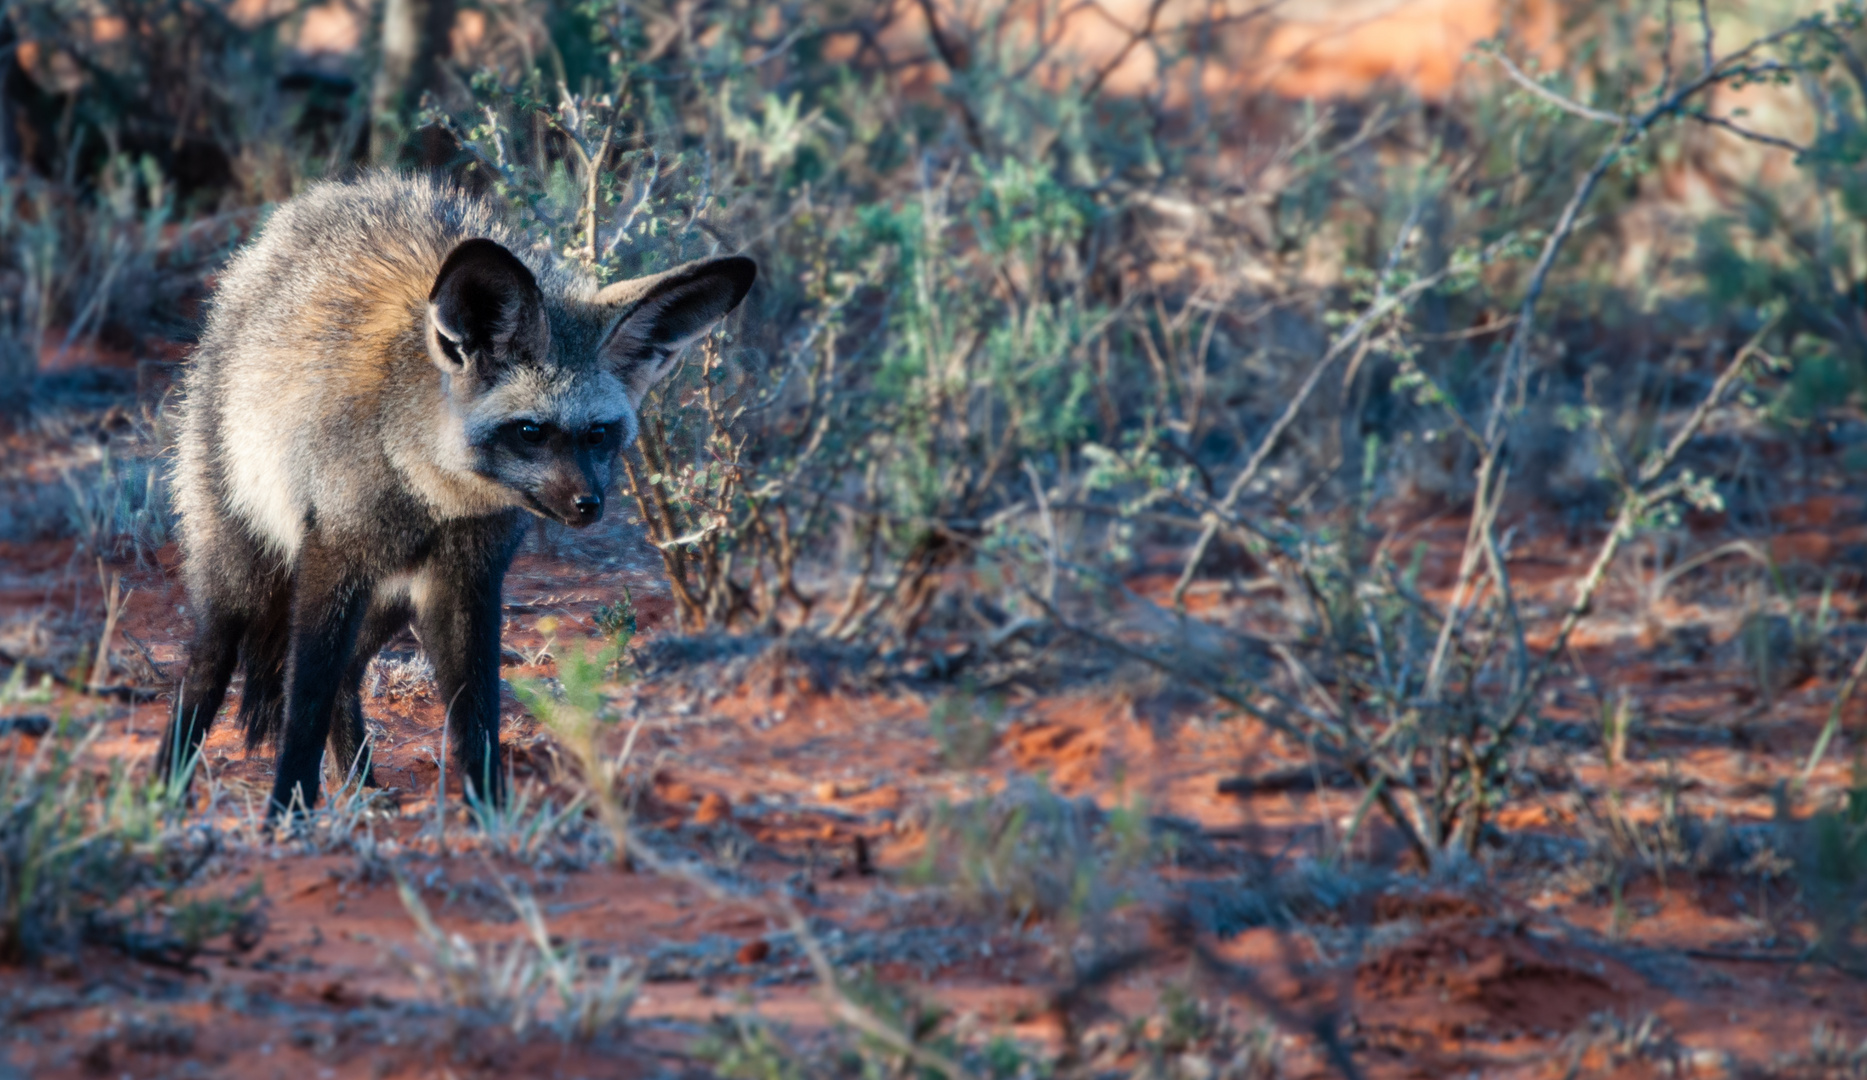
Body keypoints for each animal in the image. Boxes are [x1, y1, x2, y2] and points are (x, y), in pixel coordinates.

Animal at [160, 171, 754, 814]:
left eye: (599, 434)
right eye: (530, 432)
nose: (588, 507)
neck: (428, 491)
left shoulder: (466, 581)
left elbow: (476, 713)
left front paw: (491, 811)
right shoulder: (333, 561)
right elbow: (303, 708)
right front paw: (286, 811)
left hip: (391, 603)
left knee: (347, 677)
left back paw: (361, 785)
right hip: (243, 578)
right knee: (209, 670)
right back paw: (164, 792)